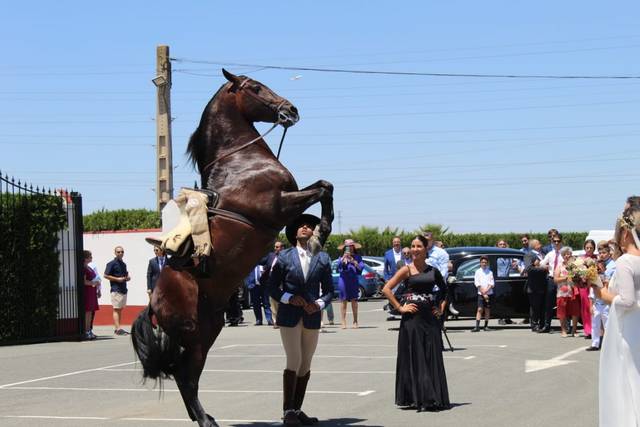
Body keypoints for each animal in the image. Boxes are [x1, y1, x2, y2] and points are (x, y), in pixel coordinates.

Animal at [131, 68, 336, 426]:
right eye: (255, 87)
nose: (291, 110)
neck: (243, 162)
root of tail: (153, 305)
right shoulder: (279, 206)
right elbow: (324, 189)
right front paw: (323, 228)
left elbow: (325, 185)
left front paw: (319, 232)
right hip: (194, 335)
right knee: (185, 376)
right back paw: (205, 419)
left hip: (209, 328)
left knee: (188, 376)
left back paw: (204, 416)